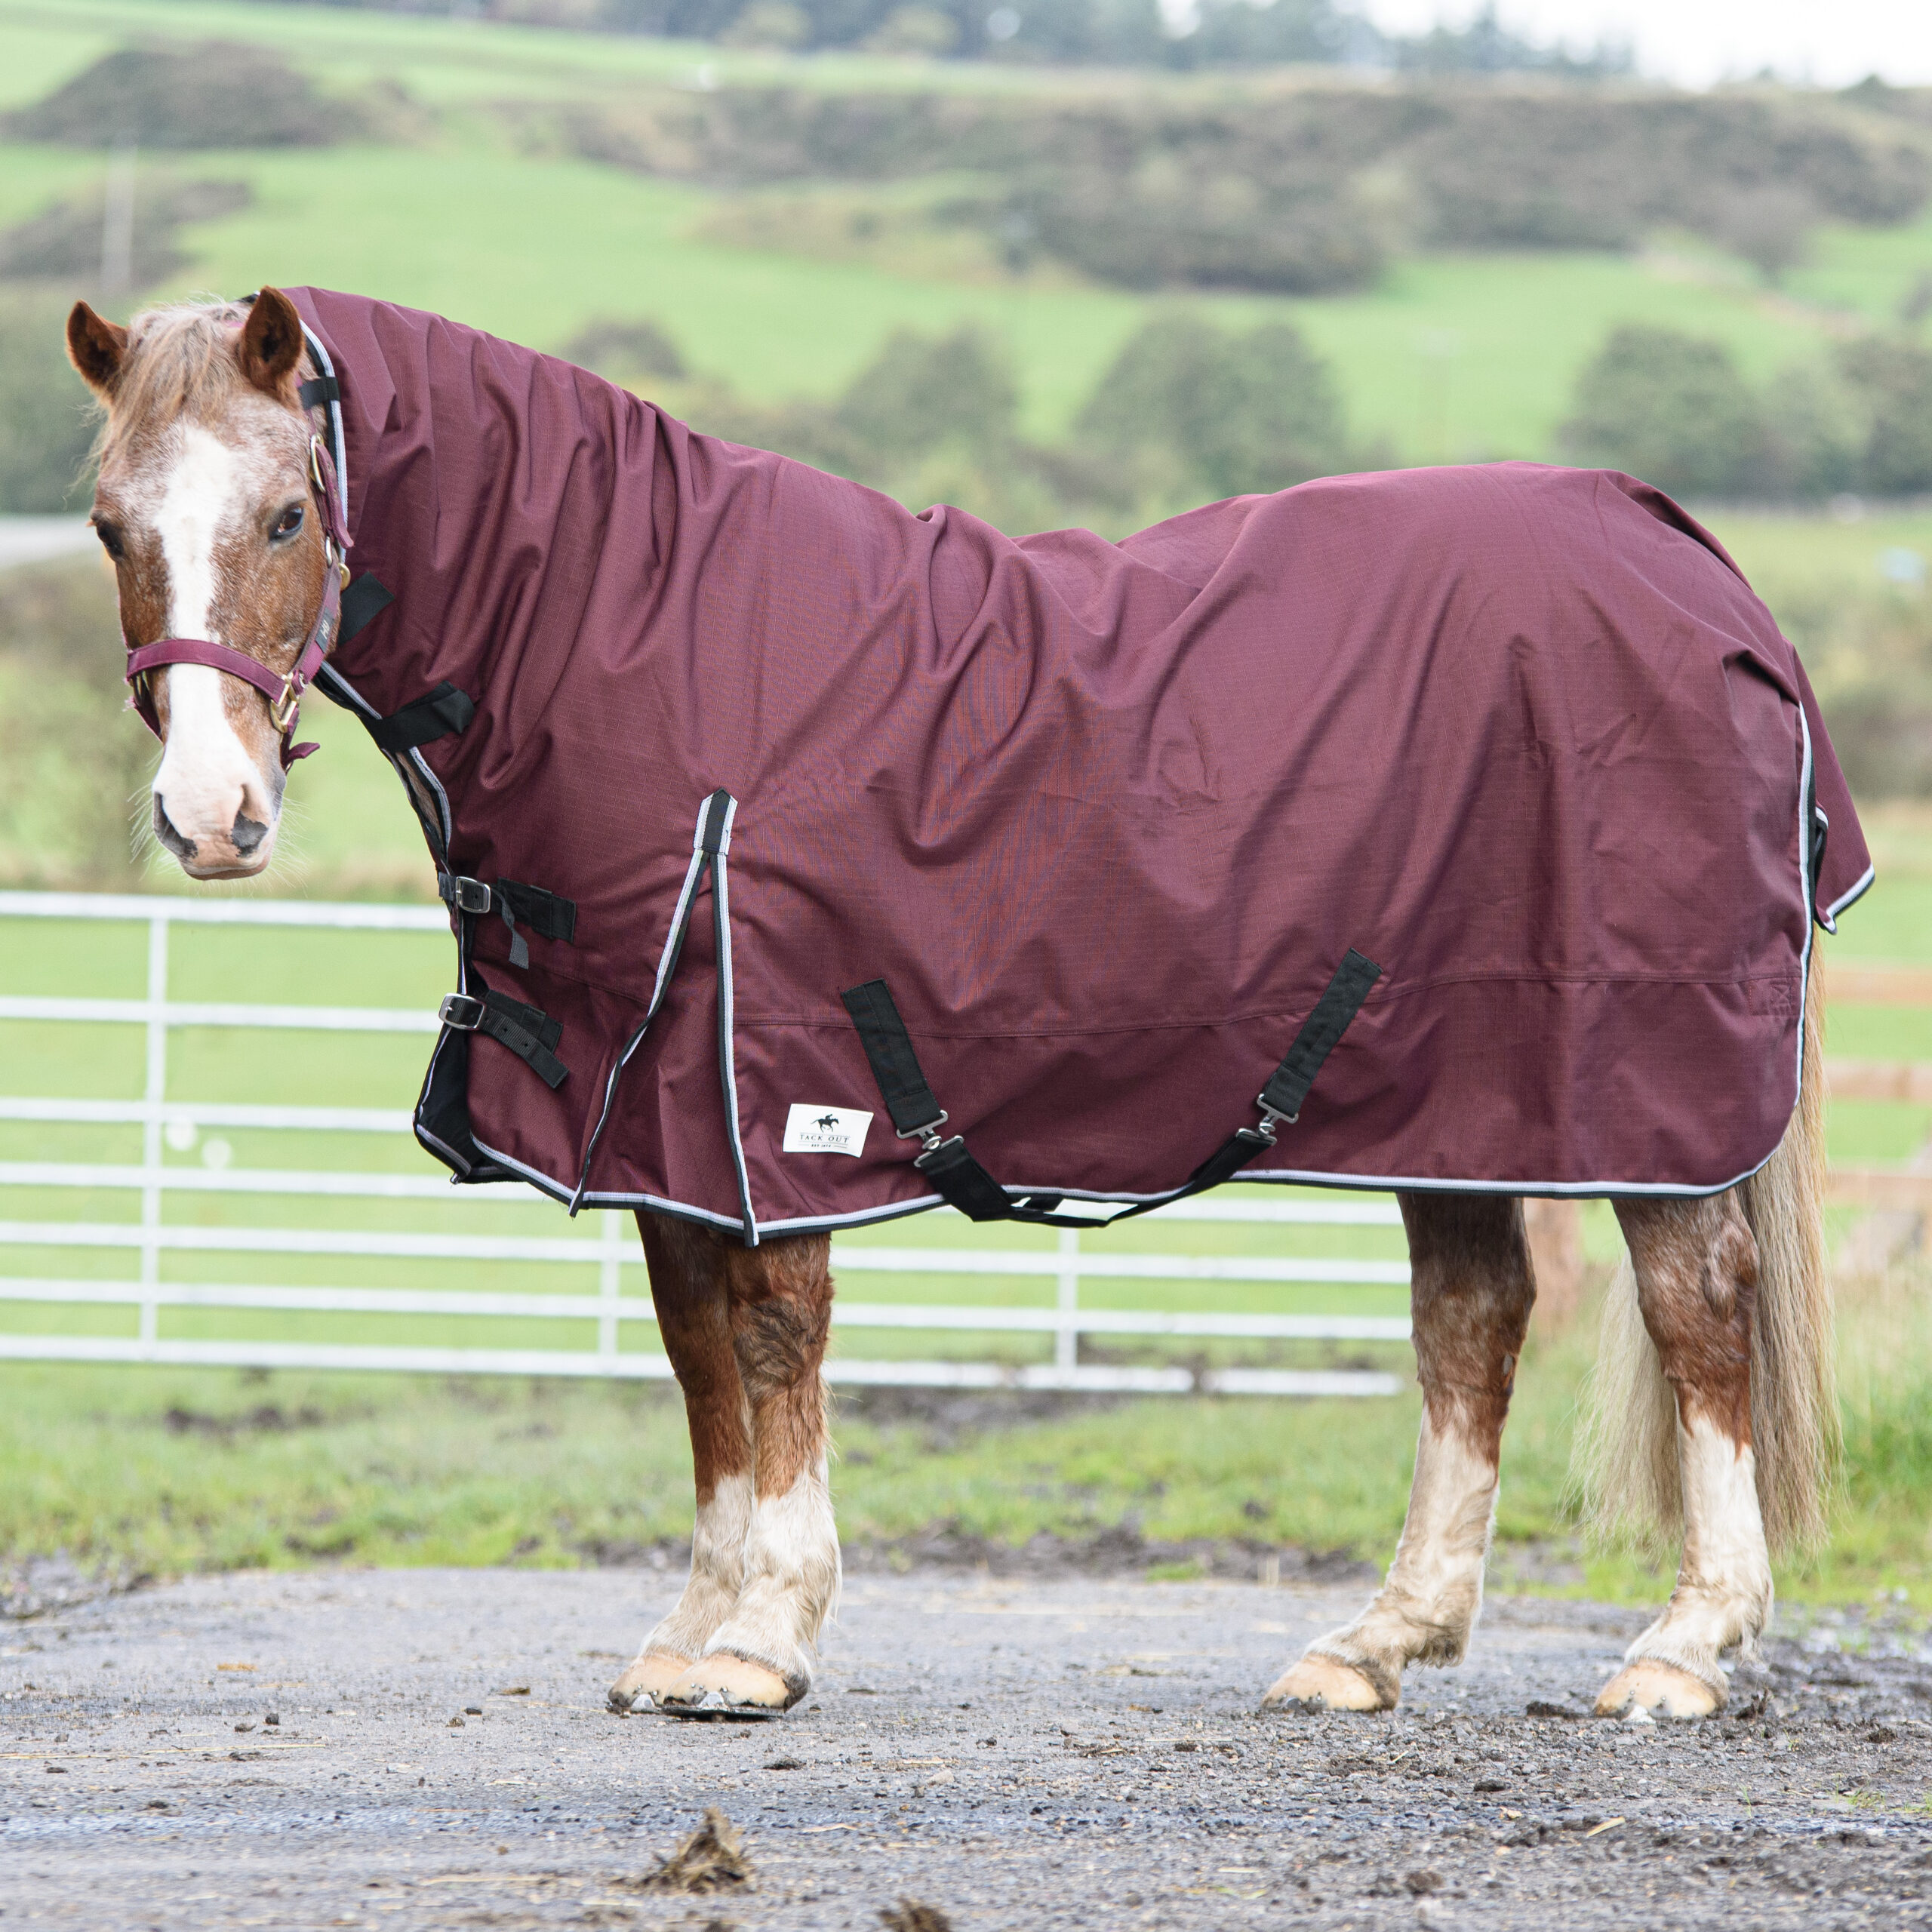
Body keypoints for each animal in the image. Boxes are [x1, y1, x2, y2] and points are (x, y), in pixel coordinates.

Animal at [64, 285, 1861, 1724]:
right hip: (1457, 1087)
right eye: (105, 525)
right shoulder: (654, 1112)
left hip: (1632, 1083)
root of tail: (1687, 557)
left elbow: (772, 1338)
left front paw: (760, 1643)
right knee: (1473, 1322)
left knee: (1696, 1311)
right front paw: (685, 1632)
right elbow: (698, 1362)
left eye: (285, 512)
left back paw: (1681, 1652)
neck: (646, 642)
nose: (211, 815)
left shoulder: (771, 1088)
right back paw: (1371, 1646)